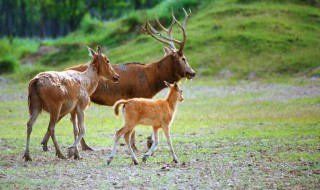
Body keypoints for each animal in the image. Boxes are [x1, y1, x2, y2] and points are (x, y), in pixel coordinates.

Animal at [40, 8, 195, 152]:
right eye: (183, 58)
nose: (192, 73)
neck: (151, 81)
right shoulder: (137, 95)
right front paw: (138, 145)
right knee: (64, 117)